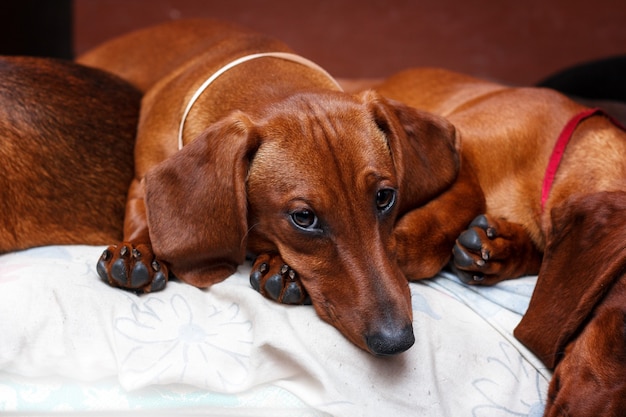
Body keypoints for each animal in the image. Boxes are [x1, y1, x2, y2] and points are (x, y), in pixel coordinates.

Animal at [74, 19, 482, 354]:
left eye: (385, 197)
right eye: (303, 218)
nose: (396, 340)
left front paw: (279, 267)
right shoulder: (141, 182)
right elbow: (143, 216)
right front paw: (138, 250)